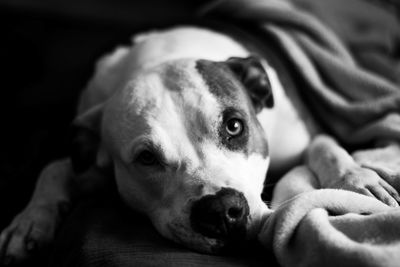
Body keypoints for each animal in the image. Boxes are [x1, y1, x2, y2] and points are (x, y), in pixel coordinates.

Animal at [1, 25, 398, 266]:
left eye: (235, 126)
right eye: (147, 158)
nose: (222, 211)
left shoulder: (303, 135)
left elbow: (325, 146)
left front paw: (355, 178)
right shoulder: (95, 159)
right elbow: (55, 167)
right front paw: (31, 221)